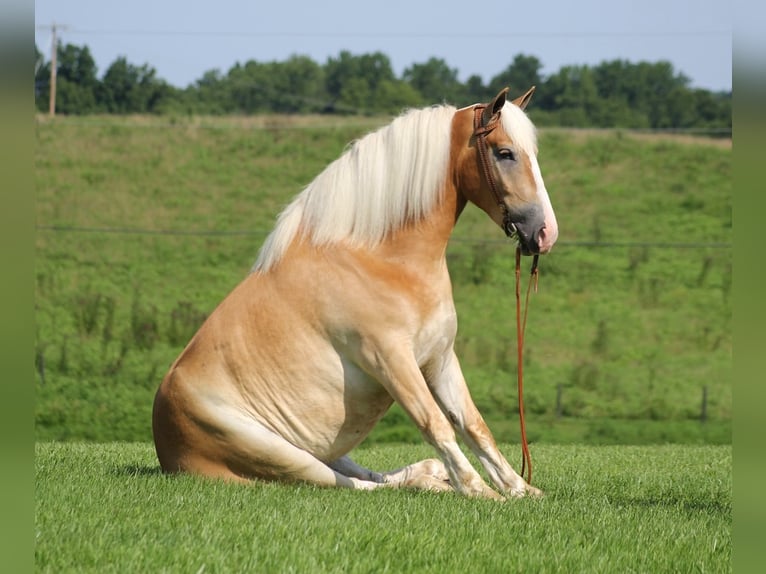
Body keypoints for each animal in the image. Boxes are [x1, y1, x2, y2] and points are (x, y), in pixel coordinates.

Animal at [152, 88, 560, 502]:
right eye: (504, 153)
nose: (545, 232)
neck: (378, 258)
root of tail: (164, 443)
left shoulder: (440, 359)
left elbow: (474, 425)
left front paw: (521, 489)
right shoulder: (391, 360)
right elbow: (434, 423)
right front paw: (481, 492)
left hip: (320, 450)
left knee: (371, 473)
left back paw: (433, 475)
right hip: (285, 457)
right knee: (355, 485)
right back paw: (434, 482)